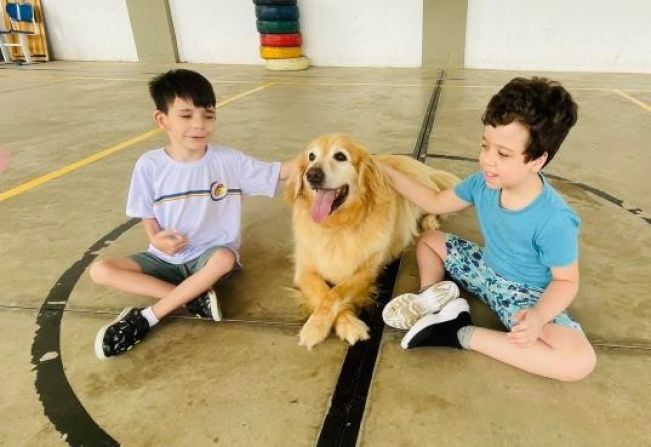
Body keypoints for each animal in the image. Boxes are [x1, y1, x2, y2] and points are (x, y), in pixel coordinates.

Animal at [284, 135, 458, 352]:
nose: (312, 175)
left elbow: (336, 293)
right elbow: (324, 294)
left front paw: (322, 327)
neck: (338, 226)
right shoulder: (305, 271)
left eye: (340, 156)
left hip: (423, 193)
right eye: (311, 156)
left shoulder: (367, 270)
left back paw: (429, 222)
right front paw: (329, 324)